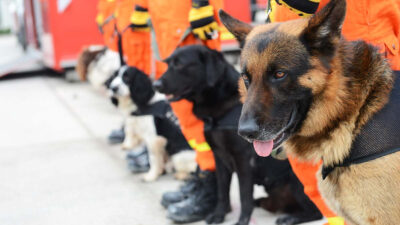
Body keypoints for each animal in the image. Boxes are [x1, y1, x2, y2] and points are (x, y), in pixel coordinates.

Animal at [152, 45, 322, 225]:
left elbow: (244, 195)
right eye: (168, 63)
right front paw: (219, 214)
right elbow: (223, 191)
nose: (155, 85)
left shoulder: (243, 160)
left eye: (179, 64)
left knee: (316, 210)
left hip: (297, 182)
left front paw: (242, 220)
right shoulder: (219, 158)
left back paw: (291, 217)